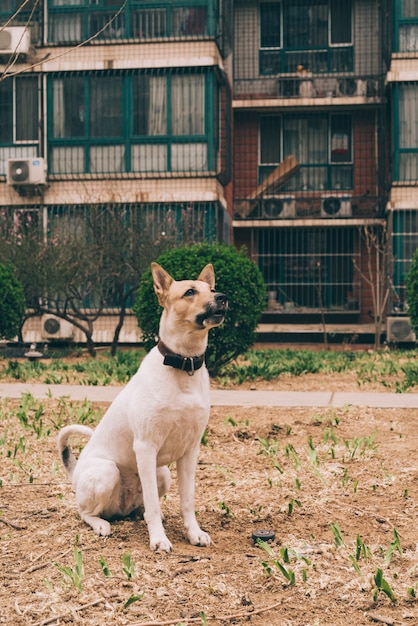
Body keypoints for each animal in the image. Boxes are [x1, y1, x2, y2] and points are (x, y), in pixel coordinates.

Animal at [57, 260, 227, 548]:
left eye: (212, 289)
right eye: (190, 292)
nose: (223, 298)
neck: (183, 365)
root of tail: (76, 471)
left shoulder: (190, 451)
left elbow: (187, 501)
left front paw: (194, 533)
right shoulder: (146, 447)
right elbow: (154, 507)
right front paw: (159, 539)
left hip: (162, 473)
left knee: (141, 506)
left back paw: (136, 514)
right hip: (107, 471)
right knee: (86, 512)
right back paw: (100, 524)